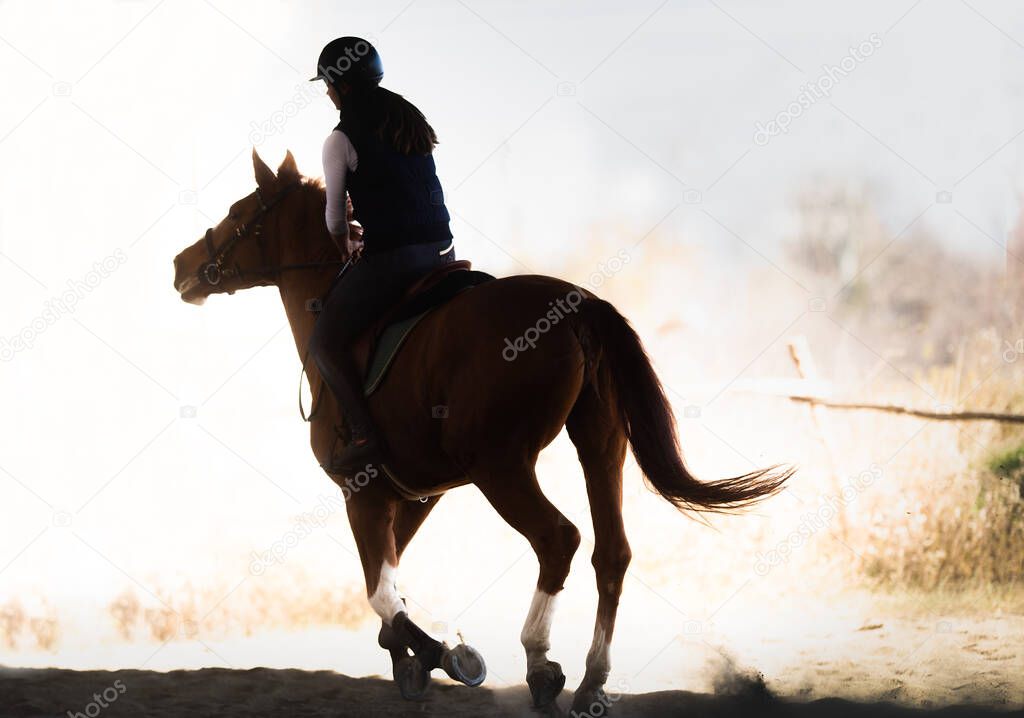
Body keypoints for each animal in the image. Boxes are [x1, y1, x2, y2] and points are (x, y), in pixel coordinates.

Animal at [172, 148, 790, 712]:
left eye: (239, 212)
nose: (181, 265)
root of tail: (577, 304)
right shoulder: (414, 496)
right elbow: (388, 585)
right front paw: (409, 661)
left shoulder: (363, 493)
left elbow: (378, 591)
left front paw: (443, 655)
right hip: (600, 447)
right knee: (610, 553)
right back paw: (591, 682)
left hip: (502, 467)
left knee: (558, 540)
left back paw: (540, 664)